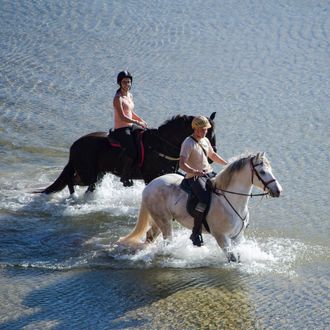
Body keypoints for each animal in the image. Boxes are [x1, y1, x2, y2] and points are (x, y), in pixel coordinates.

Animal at [38, 113, 217, 196]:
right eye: (207, 133)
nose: (210, 158)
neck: (160, 145)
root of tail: (75, 145)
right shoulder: (151, 177)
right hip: (88, 174)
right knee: (71, 180)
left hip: (98, 174)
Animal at [117, 153, 282, 262]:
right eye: (262, 172)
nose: (278, 191)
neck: (231, 201)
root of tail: (149, 186)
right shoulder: (222, 237)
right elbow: (233, 258)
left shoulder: (237, 237)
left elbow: (238, 255)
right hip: (164, 221)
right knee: (166, 241)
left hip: (159, 220)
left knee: (150, 236)